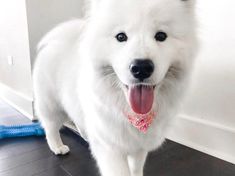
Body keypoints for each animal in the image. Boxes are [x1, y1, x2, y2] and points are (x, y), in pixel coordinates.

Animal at [33, 0, 196, 175]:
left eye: (161, 36)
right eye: (121, 37)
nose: (141, 67)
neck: (133, 114)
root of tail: (56, 40)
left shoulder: (139, 146)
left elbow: (136, 168)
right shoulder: (110, 148)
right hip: (52, 107)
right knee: (50, 128)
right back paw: (57, 147)